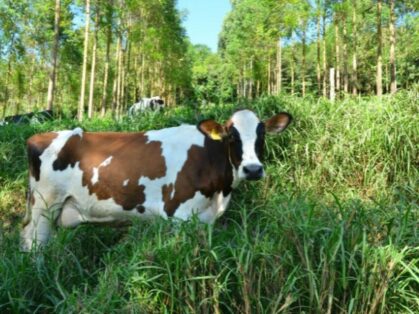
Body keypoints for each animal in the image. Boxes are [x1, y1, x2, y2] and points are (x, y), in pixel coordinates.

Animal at [22, 108, 292, 250]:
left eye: (261, 135)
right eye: (232, 136)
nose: (253, 169)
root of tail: (39, 136)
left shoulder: (205, 219)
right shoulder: (180, 215)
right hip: (45, 205)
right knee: (34, 243)